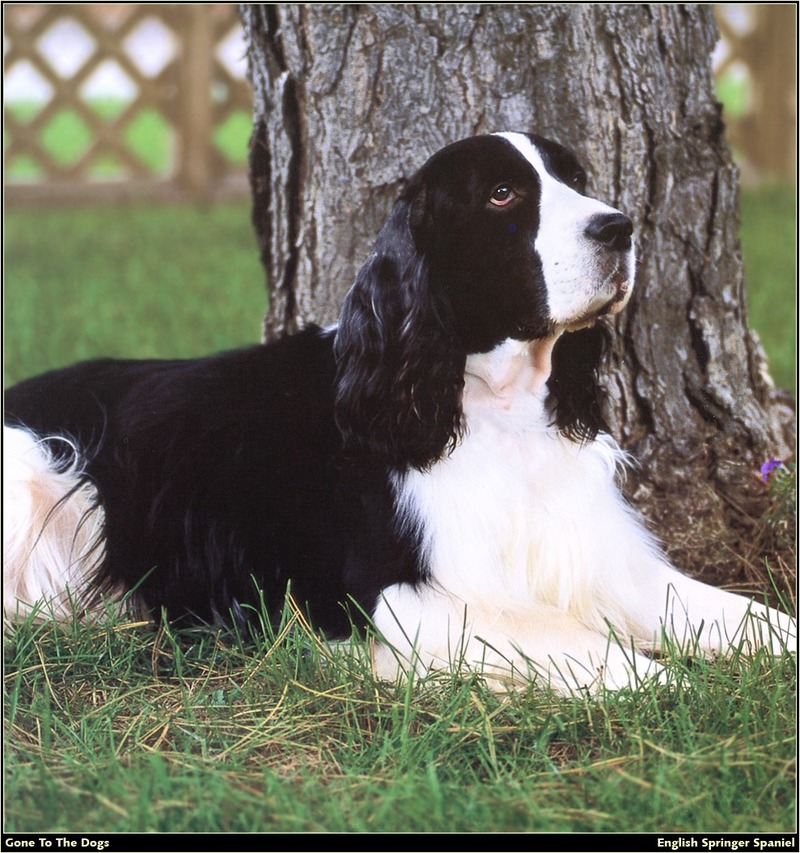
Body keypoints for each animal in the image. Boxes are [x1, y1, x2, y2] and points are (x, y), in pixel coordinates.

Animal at [3, 131, 796, 692]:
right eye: (502, 194)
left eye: (575, 179)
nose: (619, 228)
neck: (493, 406)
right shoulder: (390, 588)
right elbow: (598, 653)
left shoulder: (599, 554)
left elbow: (744, 616)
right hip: (41, 480)